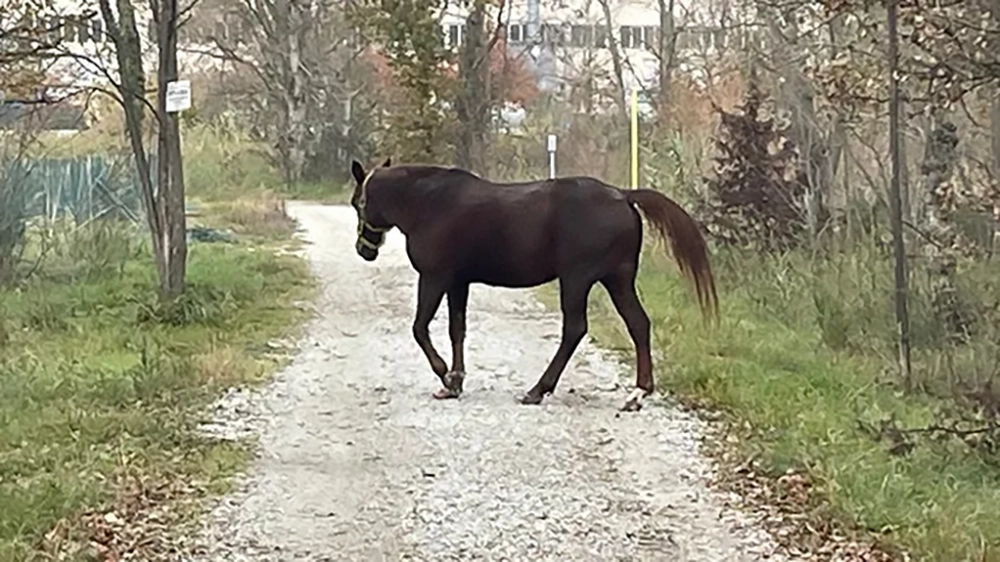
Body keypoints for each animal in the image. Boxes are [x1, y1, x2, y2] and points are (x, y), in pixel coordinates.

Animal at [349, 158, 718, 412]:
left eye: (358, 202)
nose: (364, 250)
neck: (429, 204)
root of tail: (622, 195)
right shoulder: (458, 282)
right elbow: (458, 330)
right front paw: (454, 382)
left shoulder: (434, 277)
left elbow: (420, 327)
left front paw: (445, 377)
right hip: (617, 280)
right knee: (638, 324)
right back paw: (637, 394)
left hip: (577, 279)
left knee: (575, 329)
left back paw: (538, 390)